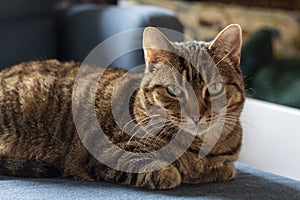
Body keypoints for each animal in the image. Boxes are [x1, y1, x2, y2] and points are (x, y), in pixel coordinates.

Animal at [0, 23, 245, 189]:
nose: (197, 116)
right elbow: (167, 172)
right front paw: (183, 171)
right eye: (173, 90)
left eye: (215, 88)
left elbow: (223, 168)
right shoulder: (108, 154)